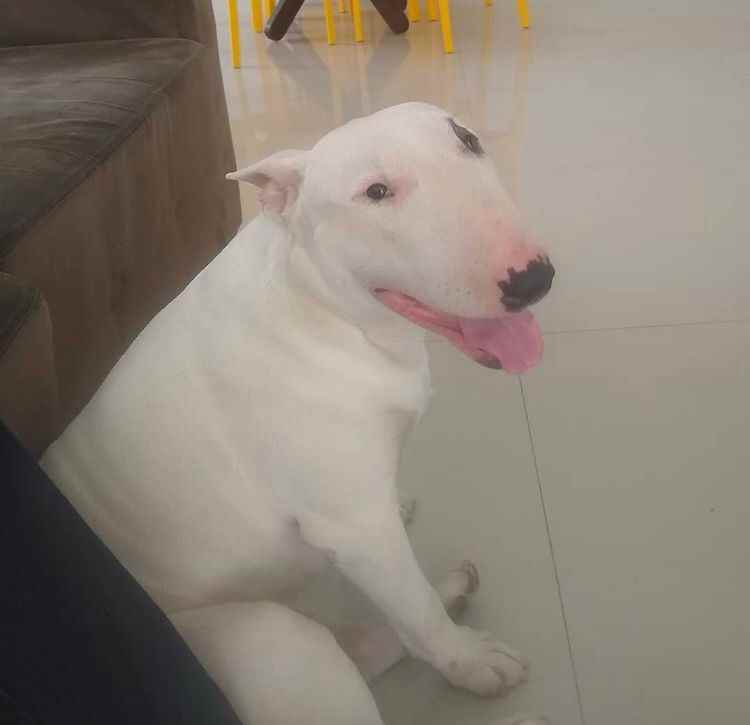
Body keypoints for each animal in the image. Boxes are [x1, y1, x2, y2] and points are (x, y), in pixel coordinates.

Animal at [42, 103, 554, 725]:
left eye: (469, 139)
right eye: (375, 191)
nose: (533, 278)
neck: (322, 307)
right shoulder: (357, 530)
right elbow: (417, 613)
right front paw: (472, 663)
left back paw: (452, 587)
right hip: (273, 641)